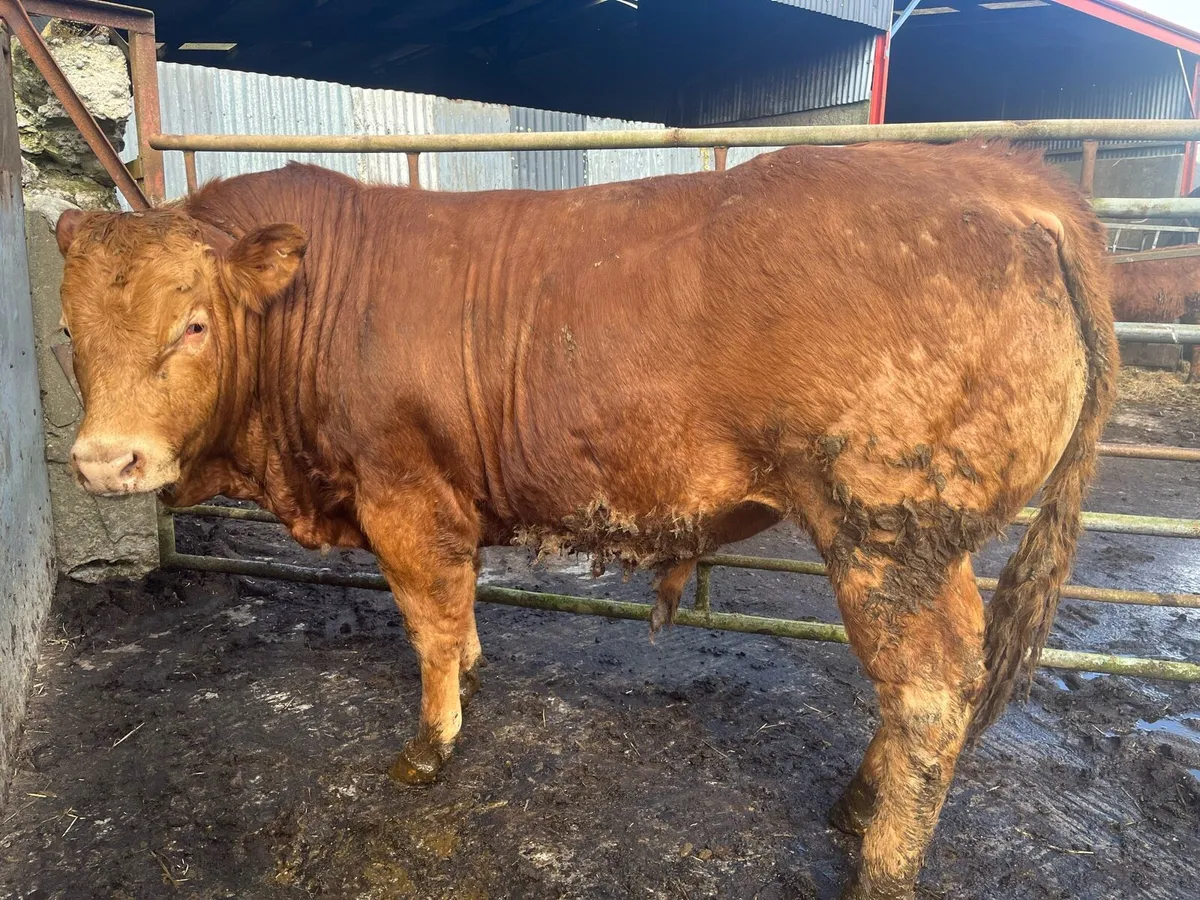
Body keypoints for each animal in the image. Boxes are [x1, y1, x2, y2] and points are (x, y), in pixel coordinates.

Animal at [55, 141, 1116, 900]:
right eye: (68, 329)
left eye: (194, 324)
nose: (108, 461)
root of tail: (1000, 177)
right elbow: (461, 618)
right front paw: (471, 682)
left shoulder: (403, 497)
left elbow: (429, 623)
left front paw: (430, 745)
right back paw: (861, 801)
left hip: (889, 533)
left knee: (931, 692)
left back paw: (880, 863)